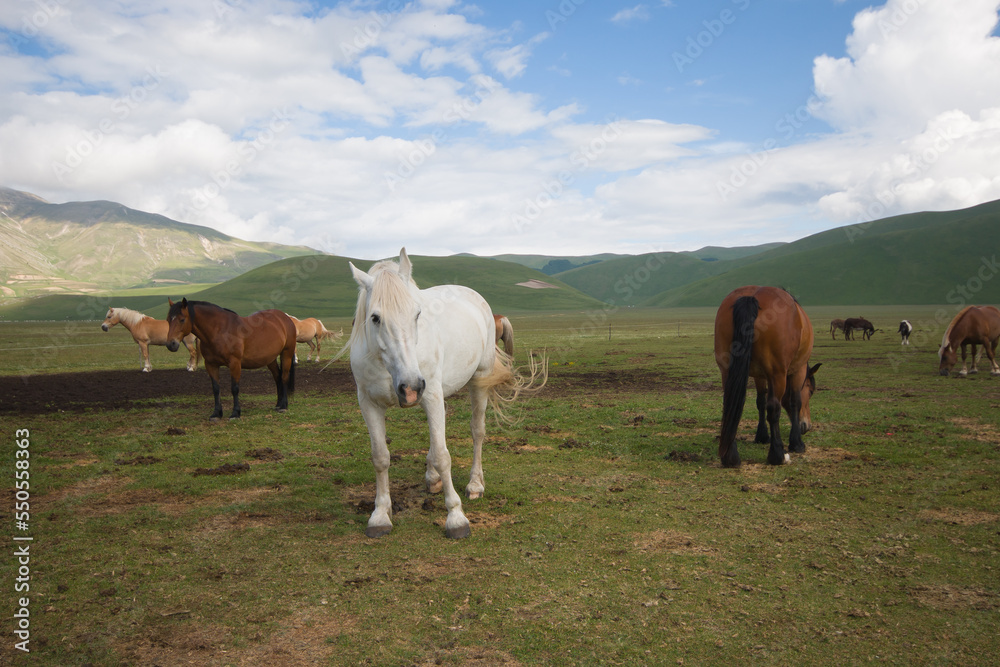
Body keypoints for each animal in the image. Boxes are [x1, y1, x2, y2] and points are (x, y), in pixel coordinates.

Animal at [165, 299, 297, 419]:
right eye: (168, 320)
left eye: (182, 319)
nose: (171, 344)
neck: (219, 331)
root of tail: (285, 317)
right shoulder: (211, 365)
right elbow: (216, 388)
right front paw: (216, 413)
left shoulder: (235, 363)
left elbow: (234, 388)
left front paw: (235, 413)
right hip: (270, 359)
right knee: (277, 377)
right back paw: (278, 404)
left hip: (286, 354)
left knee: (284, 377)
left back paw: (284, 406)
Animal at [339, 248, 546, 539]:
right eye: (375, 317)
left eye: (417, 314)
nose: (410, 387)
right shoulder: (369, 403)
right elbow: (380, 457)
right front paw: (380, 514)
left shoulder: (431, 395)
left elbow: (442, 455)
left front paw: (456, 517)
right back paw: (433, 478)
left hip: (476, 381)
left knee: (477, 431)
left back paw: (474, 484)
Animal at [714, 286, 821, 467]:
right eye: (811, 391)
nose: (807, 426)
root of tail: (751, 297)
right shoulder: (797, 370)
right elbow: (795, 401)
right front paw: (796, 443)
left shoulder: (760, 375)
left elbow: (760, 402)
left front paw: (762, 435)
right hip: (777, 374)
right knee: (774, 408)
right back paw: (777, 454)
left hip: (727, 371)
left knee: (730, 406)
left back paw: (730, 457)